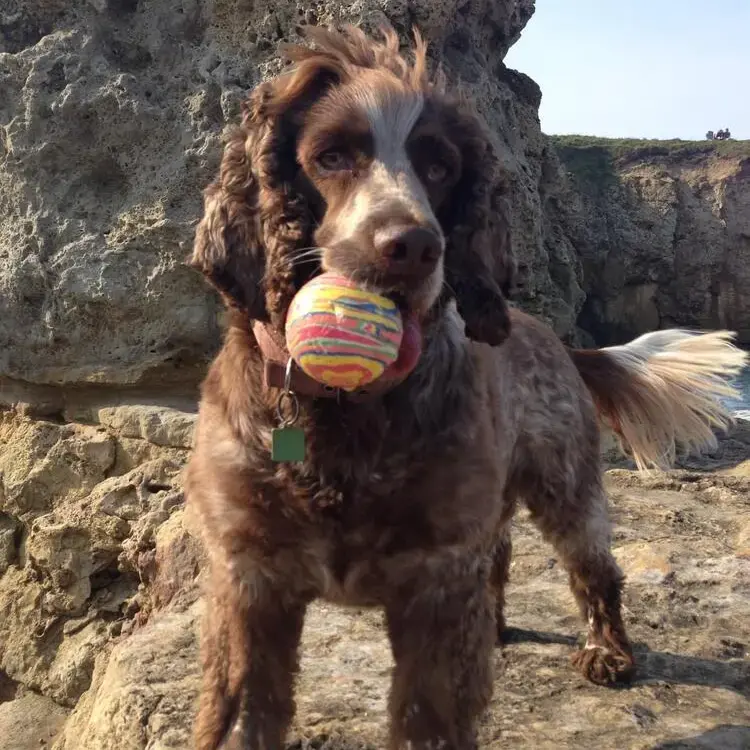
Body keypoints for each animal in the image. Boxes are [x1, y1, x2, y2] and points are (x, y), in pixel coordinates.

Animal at [185, 23, 748, 750]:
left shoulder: (436, 580)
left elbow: (426, 716)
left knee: (595, 568)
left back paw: (608, 649)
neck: (348, 417)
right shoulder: (249, 580)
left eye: (440, 167)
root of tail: (550, 334)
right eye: (330, 156)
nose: (414, 246)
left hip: (565, 486)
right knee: (502, 555)